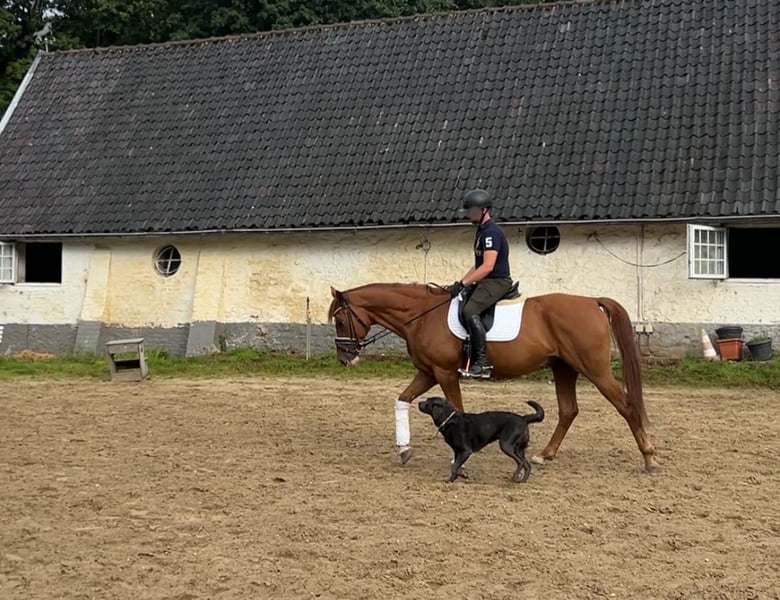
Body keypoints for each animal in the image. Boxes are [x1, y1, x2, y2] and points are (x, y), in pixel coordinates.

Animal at [327, 283, 659, 473]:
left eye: (340, 319)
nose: (345, 359)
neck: (422, 315)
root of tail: (591, 302)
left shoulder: (444, 373)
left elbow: (457, 409)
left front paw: (458, 459)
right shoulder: (428, 372)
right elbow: (403, 399)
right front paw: (404, 450)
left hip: (594, 369)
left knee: (626, 406)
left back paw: (649, 458)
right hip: (563, 368)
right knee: (569, 410)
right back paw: (544, 455)